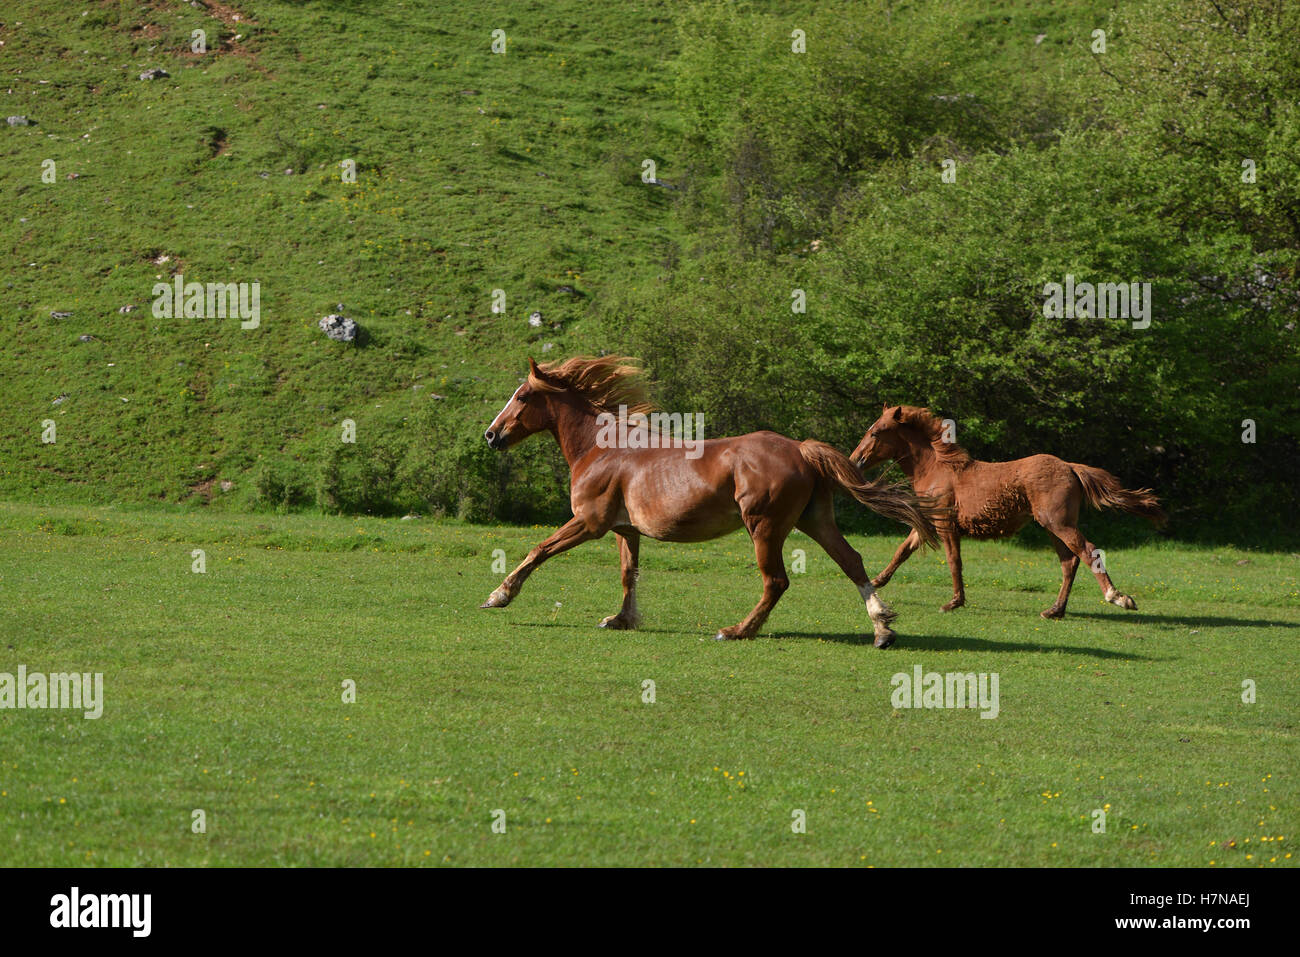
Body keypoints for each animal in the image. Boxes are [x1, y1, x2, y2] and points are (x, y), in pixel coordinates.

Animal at [478, 358, 935, 650]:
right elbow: (629, 574)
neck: (601, 449)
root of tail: (801, 450)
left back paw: (737, 631)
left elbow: (539, 550)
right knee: (852, 562)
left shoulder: (589, 523)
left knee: (776, 581)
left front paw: (499, 595)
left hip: (764, 527)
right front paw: (622, 619)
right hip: (815, 520)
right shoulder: (625, 529)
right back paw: (882, 630)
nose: (490, 434)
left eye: (522, 396)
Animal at [852, 405, 1170, 621]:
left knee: (1088, 552)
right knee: (1069, 562)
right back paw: (1054, 610)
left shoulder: (946, 525)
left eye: (875, 432)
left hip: (1058, 523)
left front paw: (954, 602)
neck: (937, 469)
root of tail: (1070, 466)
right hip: (1053, 527)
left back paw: (1117, 597)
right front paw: (875, 583)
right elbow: (901, 552)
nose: (856, 460)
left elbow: (954, 562)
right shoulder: (928, 524)